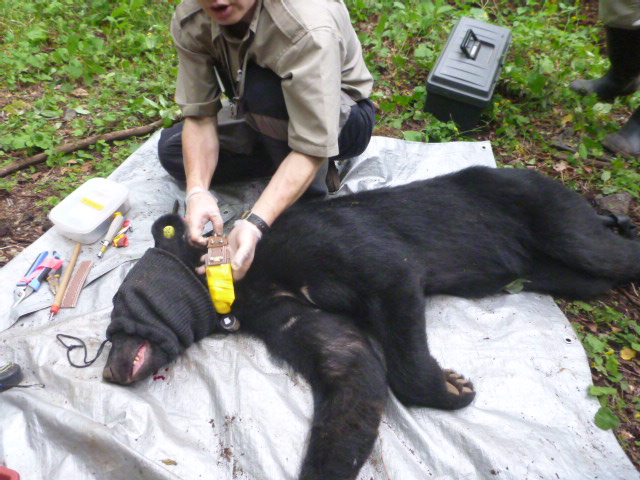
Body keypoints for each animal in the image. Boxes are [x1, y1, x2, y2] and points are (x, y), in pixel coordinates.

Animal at [104, 165, 640, 480]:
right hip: (549, 271)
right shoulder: (275, 305)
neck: (240, 277)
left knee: (605, 250)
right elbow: (347, 359)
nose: (109, 371)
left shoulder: (331, 243)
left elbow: (391, 276)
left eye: (119, 315)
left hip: (547, 209)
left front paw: (452, 386)